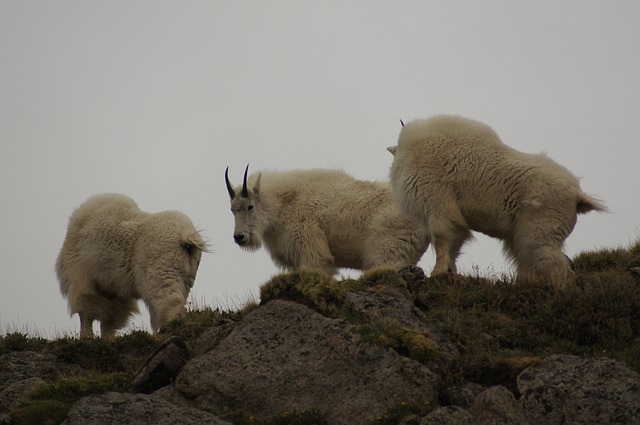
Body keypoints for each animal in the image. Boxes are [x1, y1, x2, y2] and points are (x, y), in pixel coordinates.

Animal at [55, 195, 206, 338]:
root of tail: (186, 238)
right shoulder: (115, 289)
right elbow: (111, 317)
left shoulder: (81, 276)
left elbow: (87, 309)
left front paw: (87, 337)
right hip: (187, 275)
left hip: (161, 271)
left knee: (169, 299)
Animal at [225, 164, 430, 274]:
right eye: (232, 210)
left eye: (250, 206)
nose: (239, 237)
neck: (285, 203)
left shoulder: (310, 249)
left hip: (386, 249)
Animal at [390, 115, 604, 288]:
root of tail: (577, 195)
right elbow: (455, 243)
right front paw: (450, 271)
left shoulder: (437, 201)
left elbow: (443, 237)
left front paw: (438, 273)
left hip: (541, 228)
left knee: (556, 264)